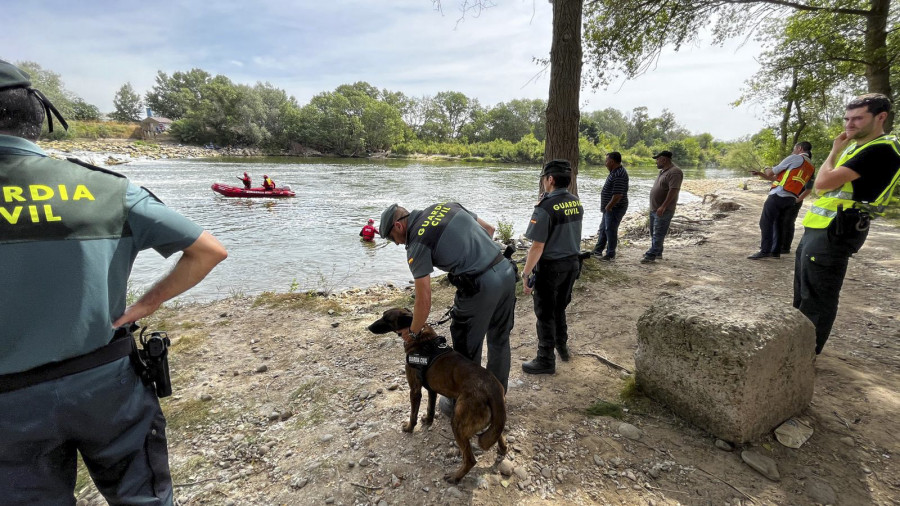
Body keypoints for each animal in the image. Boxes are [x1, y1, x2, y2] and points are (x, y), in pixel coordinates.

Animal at [366, 306, 506, 484]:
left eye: (386, 319)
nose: (369, 327)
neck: (420, 337)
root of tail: (493, 388)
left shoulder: (415, 390)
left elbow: (413, 414)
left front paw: (409, 428)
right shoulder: (431, 390)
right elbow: (430, 408)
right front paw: (428, 420)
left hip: (458, 424)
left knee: (470, 460)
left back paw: (455, 476)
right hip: (493, 420)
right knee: (499, 433)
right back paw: (502, 449)